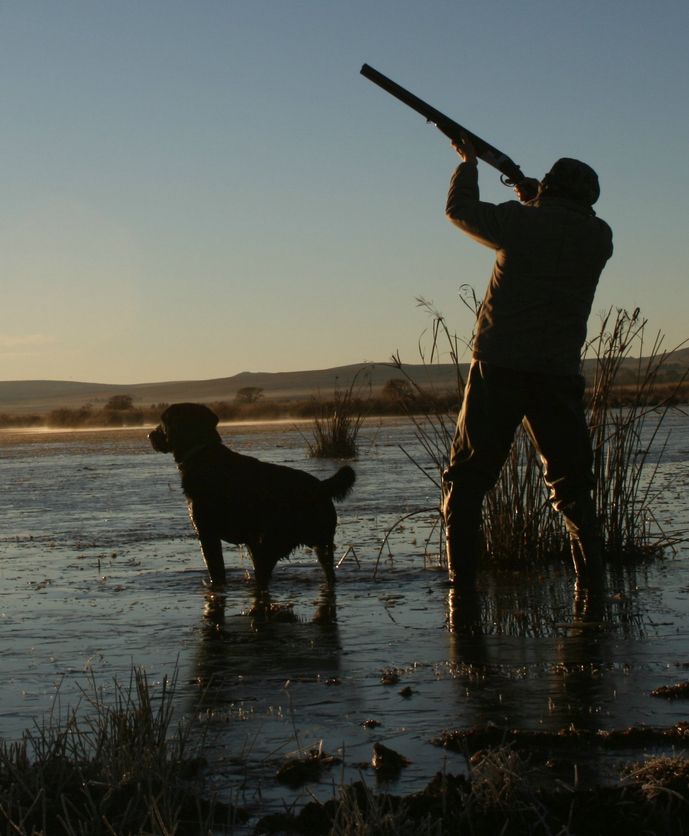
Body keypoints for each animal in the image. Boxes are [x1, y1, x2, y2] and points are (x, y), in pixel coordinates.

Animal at [149, 404, 354, 588]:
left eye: (163, 422)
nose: (149, 435)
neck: (202, 454)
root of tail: (321, 486)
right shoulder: (250, 540)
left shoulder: (207, 533)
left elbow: (216, 571)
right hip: (320, 541)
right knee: (327, 569)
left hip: (276, 538)